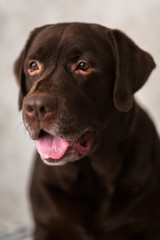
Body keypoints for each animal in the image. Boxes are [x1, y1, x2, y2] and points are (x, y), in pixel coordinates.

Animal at [14, 22, 160, 238]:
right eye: (33, 65)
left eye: (83, 66)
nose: (36, 106)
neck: (92, 180)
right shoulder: (45, 227)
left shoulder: (148, 228)